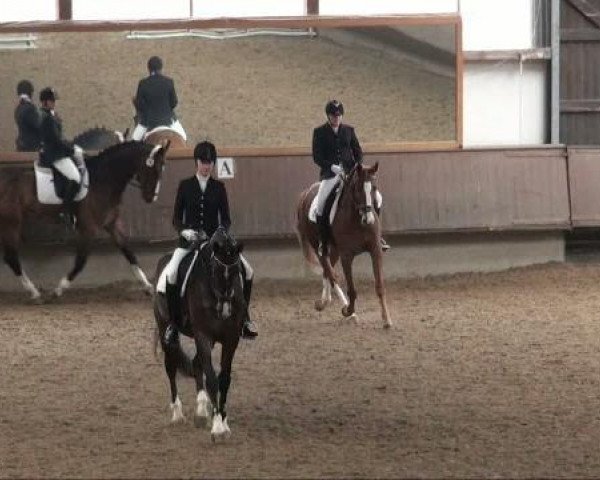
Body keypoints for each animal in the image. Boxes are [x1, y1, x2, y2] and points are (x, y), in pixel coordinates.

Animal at [0, 141, 170, 302]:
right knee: (11, 257)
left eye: (162, 169)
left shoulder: (111, 224)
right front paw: (58, 290)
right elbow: (80, 261)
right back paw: (34, 293)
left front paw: (148, 287)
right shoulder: (88, 228)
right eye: (154, 169)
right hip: (11, 223)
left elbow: (129, 253)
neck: (103, 179)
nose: (151, 198)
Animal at [154, 229, 245, 438]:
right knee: (171, 367)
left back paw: (202, 411)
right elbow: (211, 379)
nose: (225, 309)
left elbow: (224, 379)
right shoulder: (203, 335)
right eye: (215, 270)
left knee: (196, 363)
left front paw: (222, 419)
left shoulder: (231, 338)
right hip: (165, 331)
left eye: (237, 271)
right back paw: (177, 414)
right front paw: (218, 428)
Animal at [296, 163, 392, 328]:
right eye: (358, 188)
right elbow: (352, 289)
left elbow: (380, 286)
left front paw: (386, 320)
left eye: (374, 187)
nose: (368, 220)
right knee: (331, 272)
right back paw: (346, 310)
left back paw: (324, 301)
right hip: (318, 246)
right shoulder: (347, 256)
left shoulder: (375, 250)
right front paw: (348, 310)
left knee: (328, 271)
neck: (357, 219)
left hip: (334, 249)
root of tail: (305, 193)